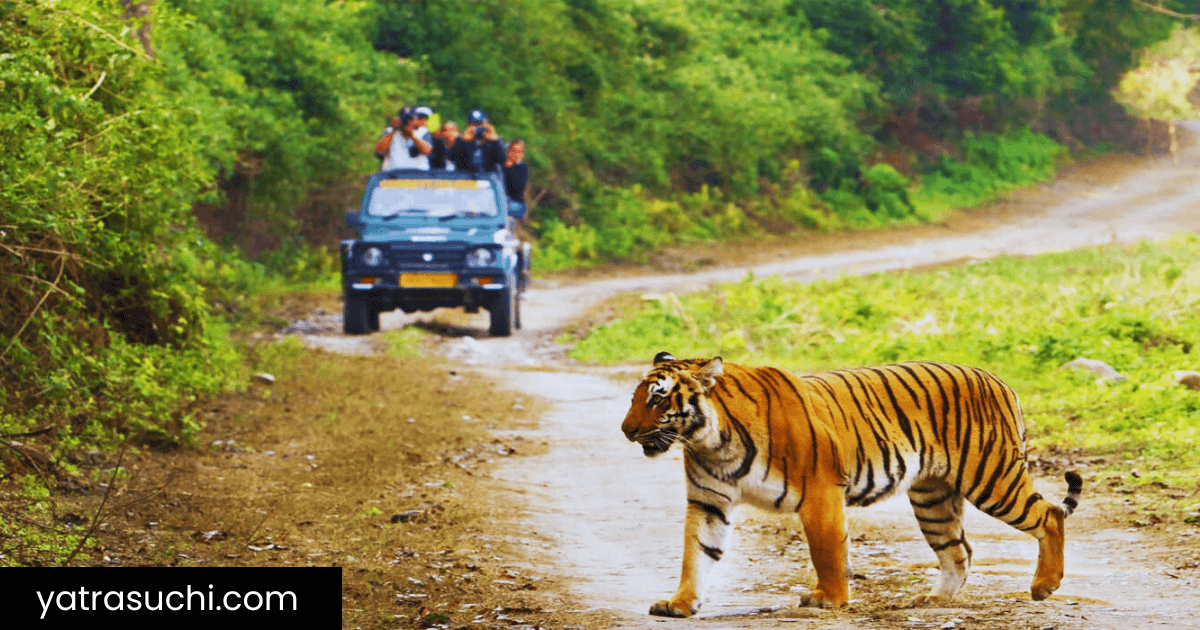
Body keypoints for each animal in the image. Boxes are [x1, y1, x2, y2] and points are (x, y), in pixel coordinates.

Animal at [624, 350, 1084, 614]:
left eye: (658, 399)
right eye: (635, 397)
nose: (626, 431)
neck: (711, 441)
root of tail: (999, 381)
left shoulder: (820, 491)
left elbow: (826, 551)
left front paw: (828, 599)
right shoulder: (708, 501)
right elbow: (696, 554)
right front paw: (680, 603)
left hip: (992, 478)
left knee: (1050, 515)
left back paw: (1044, 586)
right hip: (933, 498)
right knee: (959, 551)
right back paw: (935, 599)